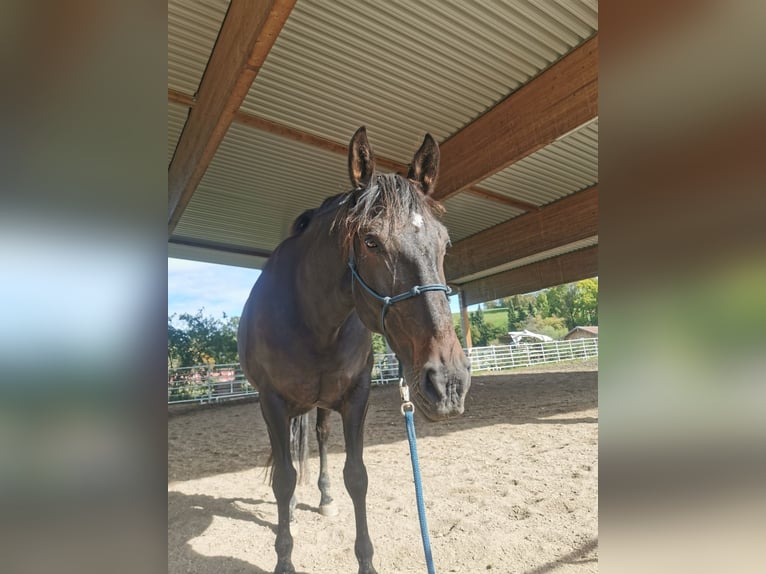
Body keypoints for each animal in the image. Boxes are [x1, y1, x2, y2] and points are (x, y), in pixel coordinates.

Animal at [237, 128, 472, 572]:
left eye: (446, 243)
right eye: (371, 241)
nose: (448, 383)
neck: (313, 320)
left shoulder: (355, 396)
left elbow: (357, 476)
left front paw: (366, 561)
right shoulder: (271, 401)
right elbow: (283, 478)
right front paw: (284, 559)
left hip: (323, 405)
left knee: (321, 438)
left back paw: (324, 498)